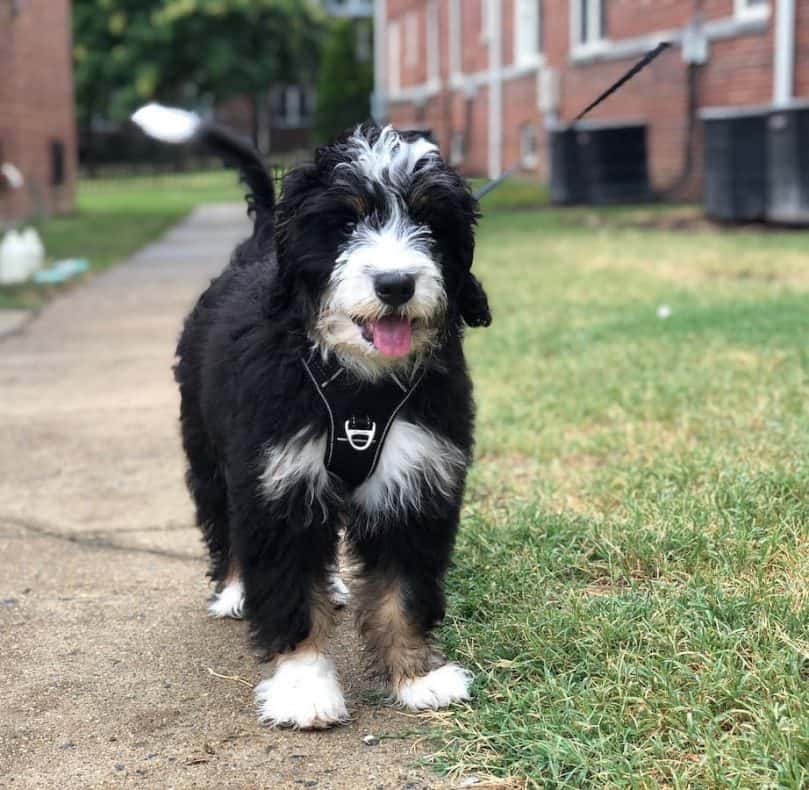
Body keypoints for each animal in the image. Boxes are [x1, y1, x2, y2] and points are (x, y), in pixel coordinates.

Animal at [133, 103, 490, 732]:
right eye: (345, 223)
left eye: (429, 220)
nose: (395, 283)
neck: (355, 383)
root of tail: (257, 248)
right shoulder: (277, 481)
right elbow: (290, 588)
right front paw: (304, 685)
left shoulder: (417, 479)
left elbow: (403, 588)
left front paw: (416, 675)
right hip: (208, 445)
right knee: (222, 519)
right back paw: (234, 590)